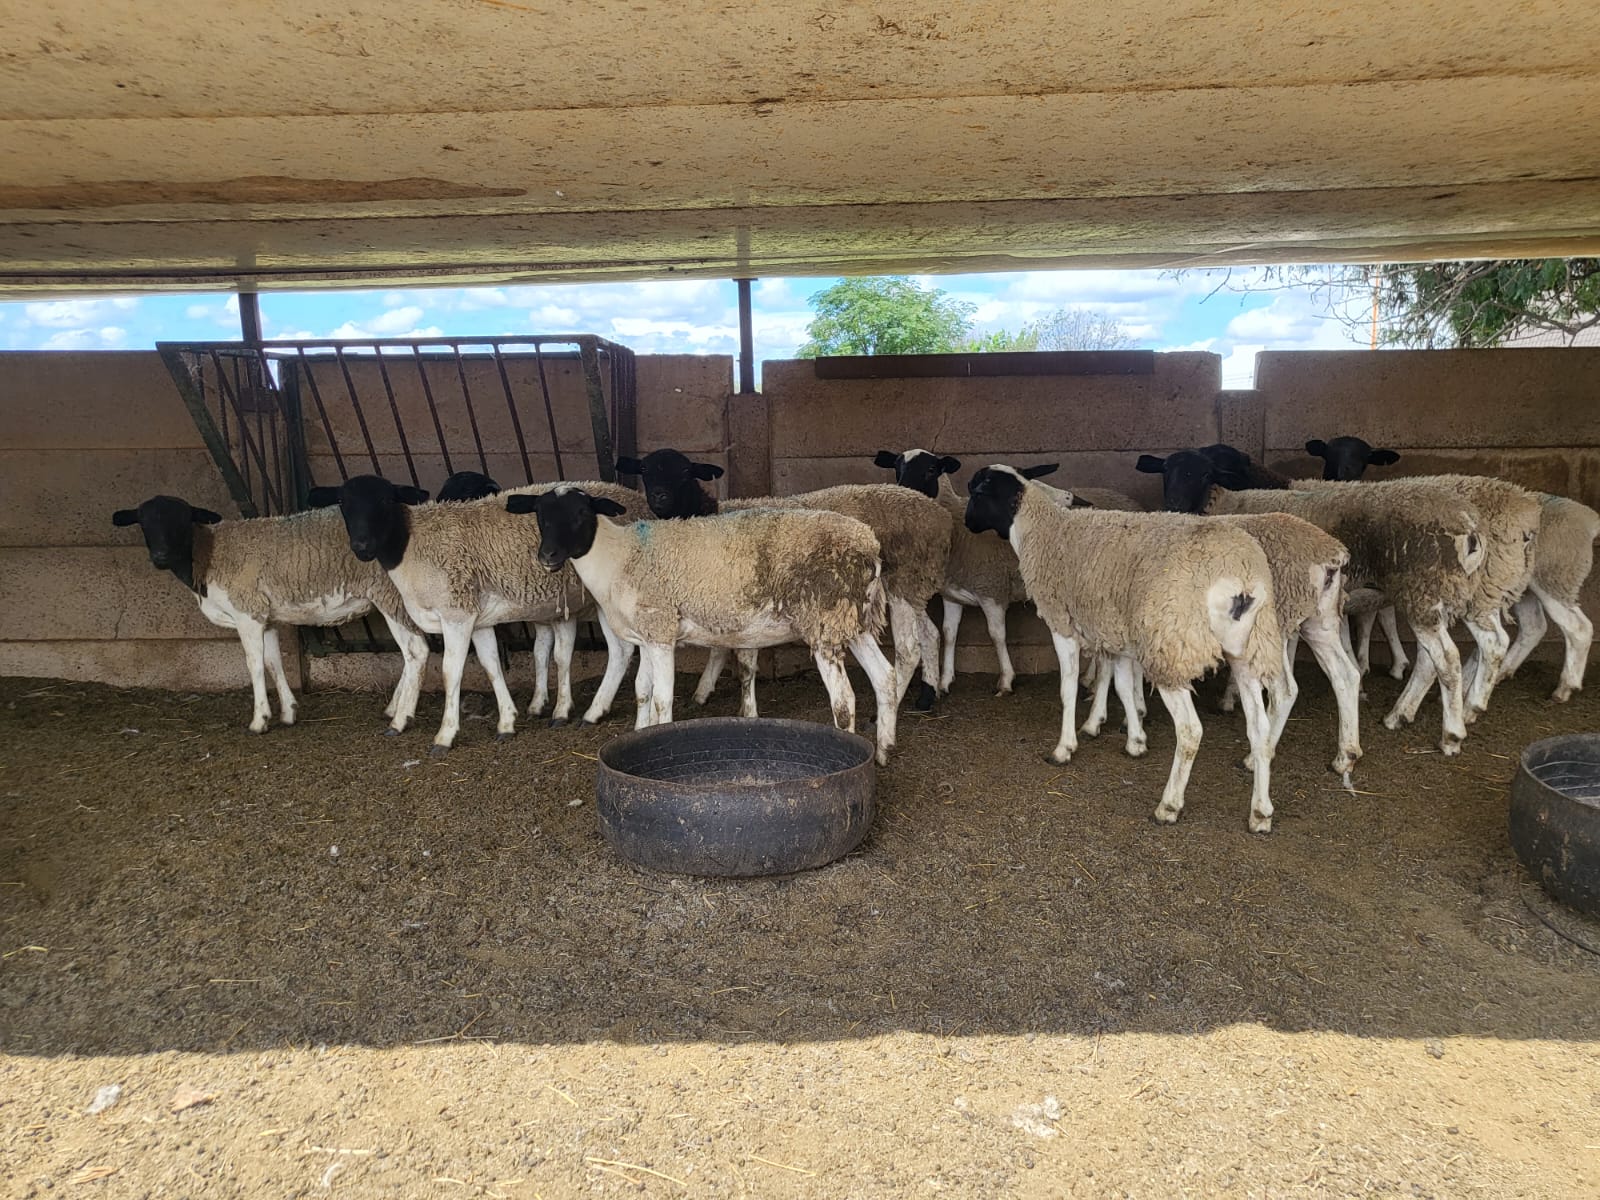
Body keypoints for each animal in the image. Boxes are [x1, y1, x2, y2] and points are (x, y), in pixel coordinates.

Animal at [111, 495, 430, 736]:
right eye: (144, 523)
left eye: (181, 521)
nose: (160, 557)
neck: (207, 556)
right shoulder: (266, 618)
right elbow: (274, 662)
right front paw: (288, 712)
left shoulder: (246, 610)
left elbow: (253, 665)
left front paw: (260, 720)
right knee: (412, 653)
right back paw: (394, 708)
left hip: (392, 595)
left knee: (416, 651)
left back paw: (400, 719)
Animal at [310, 475, 650, 751]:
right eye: (342, 503)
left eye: (384, 500)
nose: (362, 547)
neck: (411, 544)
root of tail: (637, 499)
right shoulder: (477, 618)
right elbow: (490, 665)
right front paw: (507, 722)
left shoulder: (456, 613)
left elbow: (450, 671)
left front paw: (445, 736)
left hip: (609, 599)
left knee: (620, 651)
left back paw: (594, 711)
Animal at [505, 486, 900, 764]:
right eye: (540, 515)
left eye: (581, 513)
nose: (547, 557)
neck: (617, 558)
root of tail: (869, 544)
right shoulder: (649, 634)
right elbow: (642, 691)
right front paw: (639, 733)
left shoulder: (661, 631)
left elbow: (662, 699)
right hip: (853, 621)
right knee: (885, 678)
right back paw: (884, 751)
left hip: (824, 619)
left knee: (844, 699)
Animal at [618, 450, 951, 712]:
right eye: (645, 471)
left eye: (686, 472)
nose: (659, 497)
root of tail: (936, 514)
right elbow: (723, 645)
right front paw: (705, 691)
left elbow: (736, 655)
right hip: (915, 585)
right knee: (930, 634)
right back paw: (927, 695)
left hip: (902, 584)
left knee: (908, 648)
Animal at [965, 465, 1286, 832]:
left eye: (977, 493)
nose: (967, 523)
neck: (1041, 530)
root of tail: (1241, 575)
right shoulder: (1115, 631)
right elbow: (1121, 684)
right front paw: (1134, 740)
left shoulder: (1062, 621)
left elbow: (1068, 688)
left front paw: (1064, 748)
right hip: (1249, 649)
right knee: (1259, 728)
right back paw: (1260, 812)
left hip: (1171, 646)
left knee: (1190, 731)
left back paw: (1169, 806)